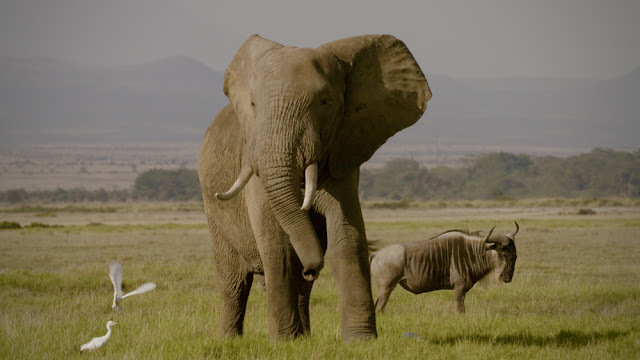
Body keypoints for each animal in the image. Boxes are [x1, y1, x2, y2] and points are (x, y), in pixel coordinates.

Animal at [198, 35, 432, 342]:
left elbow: (348, 237)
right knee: (233, 281)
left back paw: (304, 337)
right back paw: (230, 339)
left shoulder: (344, 153)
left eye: (325, 102)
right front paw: (282, 342)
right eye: (253, 103)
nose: (313, 268)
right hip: (213, 208)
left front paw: (360, 341)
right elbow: (277, 246)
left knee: (299, 286)